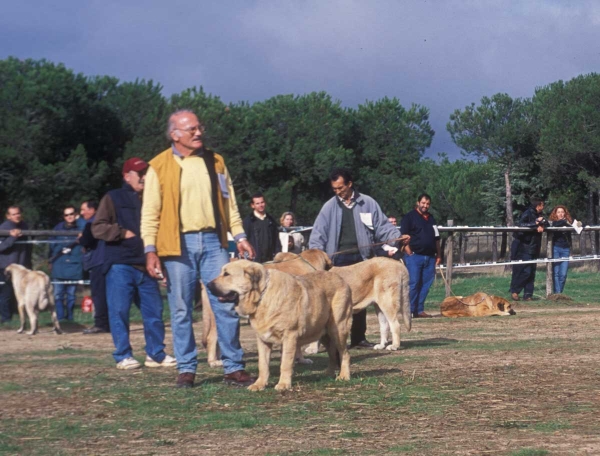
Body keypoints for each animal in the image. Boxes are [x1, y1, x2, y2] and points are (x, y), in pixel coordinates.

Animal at [209, 260, 354, 392]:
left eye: (226, 274)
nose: (208, 285)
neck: (262, 296)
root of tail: (341, 279)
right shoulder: (263, 340)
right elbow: (263, 364)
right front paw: (259, 384)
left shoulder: (289, 336)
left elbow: (285, 363)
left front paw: (283, 384)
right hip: (322, 332)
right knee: (332, 353)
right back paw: (329, 372)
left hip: (338, 329)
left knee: (345, 353)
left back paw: (343, 376)